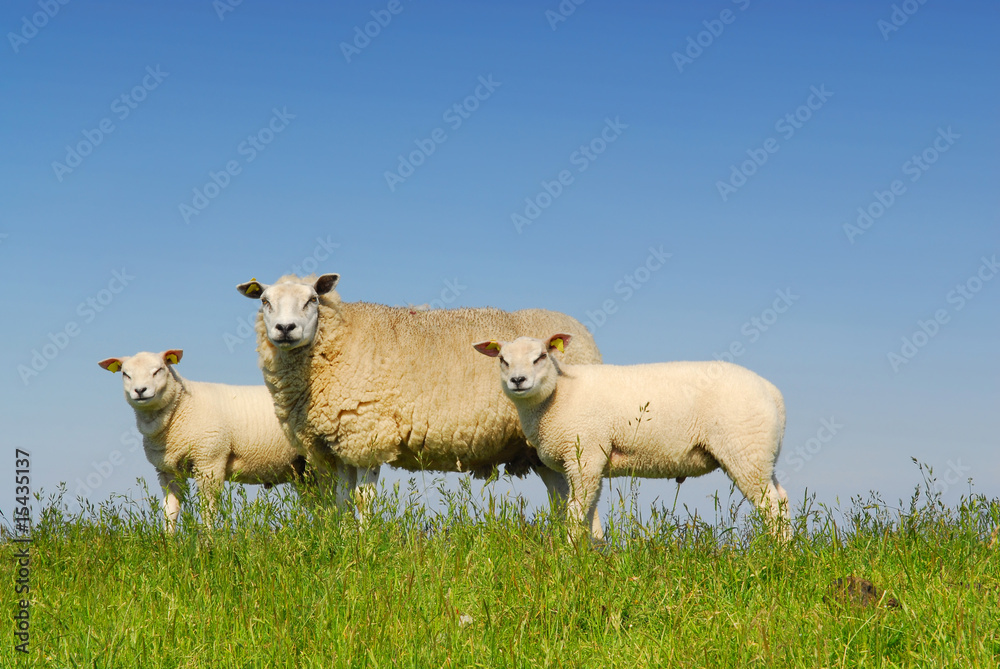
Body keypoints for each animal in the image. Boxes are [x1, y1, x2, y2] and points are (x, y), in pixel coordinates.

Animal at [98, 349, 316, 532]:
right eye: (125, 374)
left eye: (158, 370)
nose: (140, 390)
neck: (182, 406)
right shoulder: (167, 470)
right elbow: (170, 510)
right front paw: (168, 544)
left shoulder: (210, 460)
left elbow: (208, 508)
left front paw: (207, 542)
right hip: (302, 469)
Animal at [236, 273, 605, 534]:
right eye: (265, 301)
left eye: (312, 299)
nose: (285, 328)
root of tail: (582, 334)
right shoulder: (338, 444)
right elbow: (341, 500)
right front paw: (343, 541)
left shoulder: (367, 433)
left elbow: (363, 500)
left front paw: (363, 547)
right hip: (542, 447)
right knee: (563, 498)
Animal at [473, 334, 791, 542]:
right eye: (502, 360)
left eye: (540, 356)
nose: (518, 381)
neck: (558, 394)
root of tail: (772, 392)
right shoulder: (592, 460)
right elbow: (588, 511)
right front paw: (589, 551)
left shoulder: (585, 455)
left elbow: (576, 511)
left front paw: (569, 554)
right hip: (761, 454)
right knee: (782, 500)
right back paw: (787, 551)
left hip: (744, 449)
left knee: (770, 506)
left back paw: (773, 555)